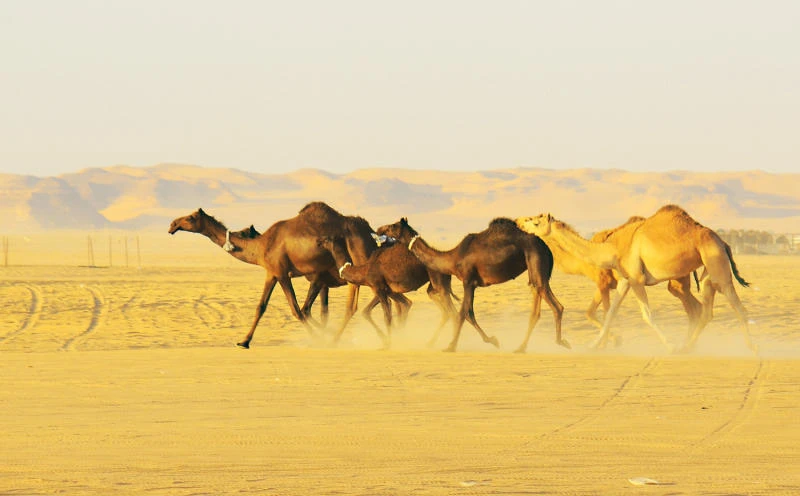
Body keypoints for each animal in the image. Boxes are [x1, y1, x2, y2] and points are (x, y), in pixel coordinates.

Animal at [168, 202, 390, 348]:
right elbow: (261, 307)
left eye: (190, 218)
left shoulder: (283, 273)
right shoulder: (272, 273)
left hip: (360, 262)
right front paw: (244, 341)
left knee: (375, 300)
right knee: (357, 305)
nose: (172, 225)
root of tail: (370, 233)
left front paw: (316, 338)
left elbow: (297, 310)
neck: (261, 245)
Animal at [406, 217, 568, 353]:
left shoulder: (468, 281)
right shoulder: (472, 284)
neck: (453, 257)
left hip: (537, 260)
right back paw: (521, 347)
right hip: (534, 272)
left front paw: (451, 346)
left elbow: (462, 313)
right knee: (536, 307)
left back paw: (561, 342)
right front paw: (492, 340)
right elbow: (469, 313)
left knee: (556, 305)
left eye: (397, 228)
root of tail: (546, 247)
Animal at [516, 205, 756, 354]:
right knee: (705, 310)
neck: (612, 248)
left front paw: (669, 346)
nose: (518, 221)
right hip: (706, 271)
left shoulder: (636, 278)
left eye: (535, 221)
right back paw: (687, 347)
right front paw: (593, 345)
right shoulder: (625, 280)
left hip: (716, 265)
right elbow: (610, 313)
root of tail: (723, 242)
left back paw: (751, 348)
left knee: (736, 305)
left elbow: (647, 315)